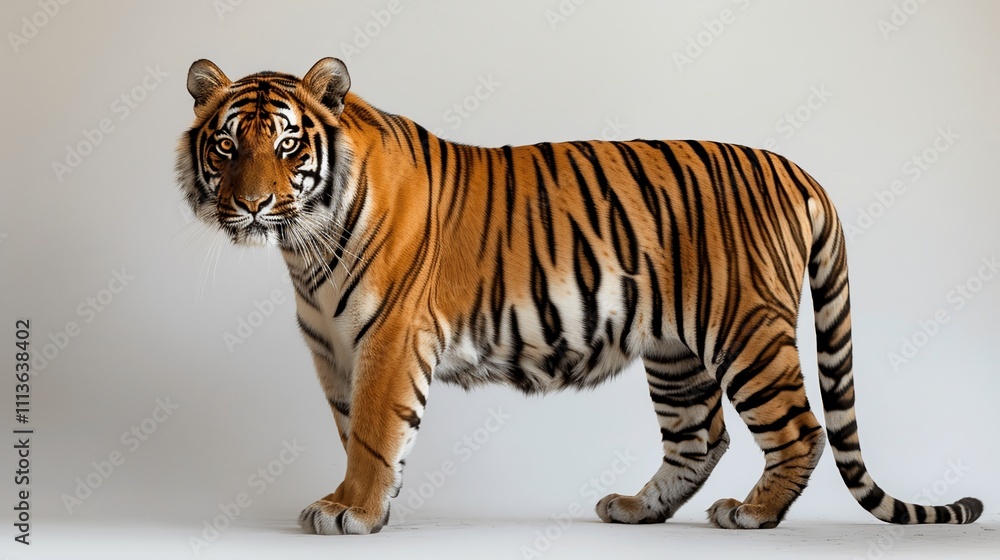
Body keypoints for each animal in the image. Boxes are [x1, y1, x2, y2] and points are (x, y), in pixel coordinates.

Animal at [175, 57, 983, 535]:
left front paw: (356, 512)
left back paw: (752, 515)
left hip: (746, 331)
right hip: (675, 352)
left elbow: (374, 433)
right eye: (227, 145)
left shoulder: (390, 339)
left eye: (286, 146)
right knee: (701, 437)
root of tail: (798, 170)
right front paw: (356, 502)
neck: (303, 246)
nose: (252, 205)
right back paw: (635, 509)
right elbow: (353, 432)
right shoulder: (333, 347)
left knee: (800, 430)